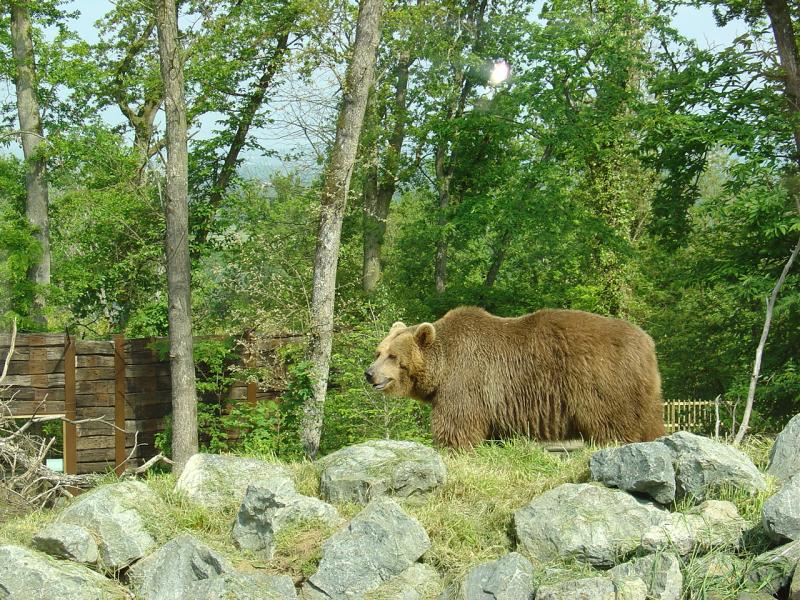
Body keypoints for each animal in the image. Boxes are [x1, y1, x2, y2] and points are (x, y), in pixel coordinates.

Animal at [365, 306, 665, 449]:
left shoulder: (465, 381)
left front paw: (452, 449)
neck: (442, 368)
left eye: (393, 356)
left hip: (602, 383)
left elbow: (457, 425)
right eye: (378, 351)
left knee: (611, 426)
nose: (369, 374)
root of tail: (646, 342)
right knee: (649, 424)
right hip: (644, 394)